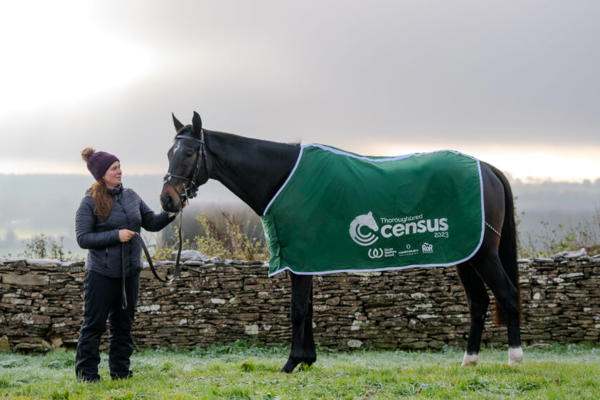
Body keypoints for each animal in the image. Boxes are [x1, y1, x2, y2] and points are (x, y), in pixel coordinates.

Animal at [162, 110, 524, 372]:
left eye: (190, 152)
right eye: (169, 153)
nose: (167, 200)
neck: (282, 178)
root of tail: (488, 168)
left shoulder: (300, 257)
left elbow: (297, 309)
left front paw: (291, 363)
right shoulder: (305, 260)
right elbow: (308, 307)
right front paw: (307, 360)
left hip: (483, 255)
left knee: (507, 294)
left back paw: (515, 359)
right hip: (465, 253)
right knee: (478, 302)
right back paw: (469, 361)